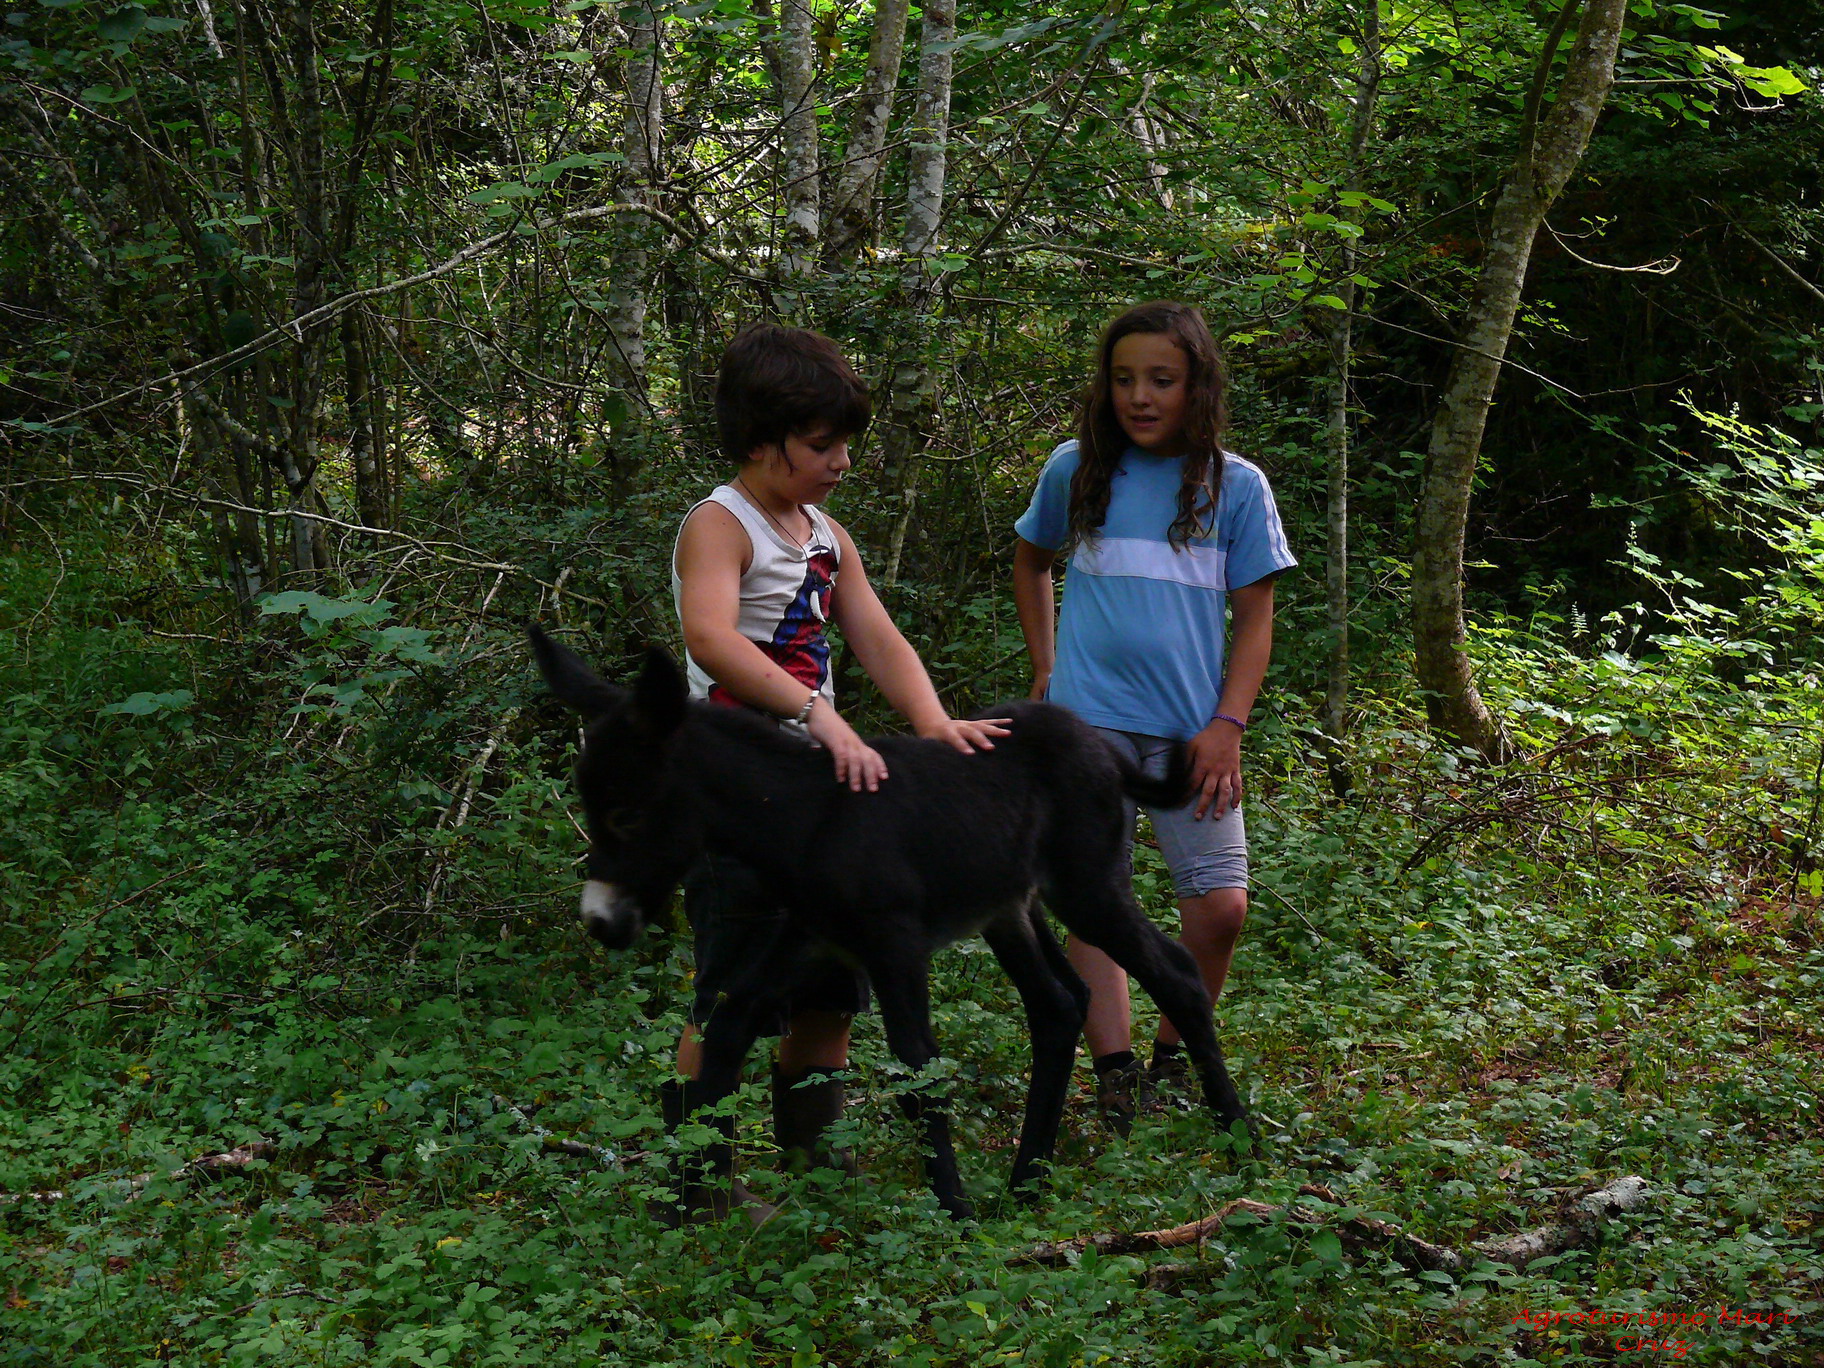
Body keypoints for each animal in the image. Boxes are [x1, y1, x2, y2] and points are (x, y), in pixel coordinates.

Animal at [532, 631, 1254, 1218]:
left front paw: (955, 1216)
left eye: (626, 814)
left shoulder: (894, 946)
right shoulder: (812, 940)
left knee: (1176, 974)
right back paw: (1027, 1184)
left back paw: (1240, 1150)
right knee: (1059, 1004)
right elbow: (727, 1033)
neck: (804, 816)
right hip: (1008, 907)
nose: (598, 921)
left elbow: (920, 1071)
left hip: (1086, 887)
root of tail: (1100, 743)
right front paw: (690, 1204)